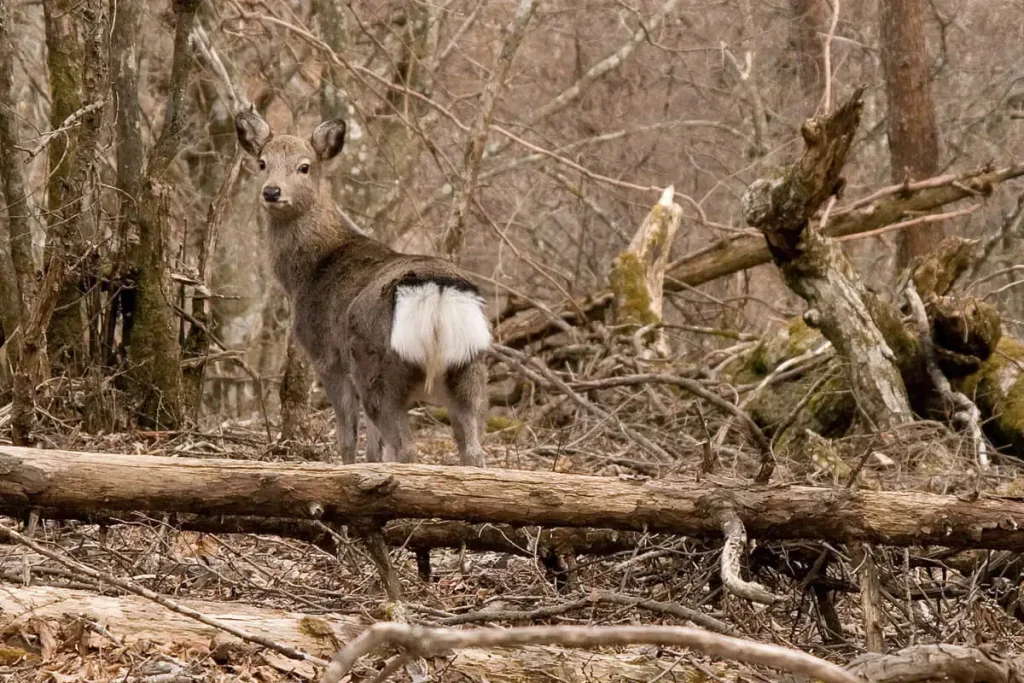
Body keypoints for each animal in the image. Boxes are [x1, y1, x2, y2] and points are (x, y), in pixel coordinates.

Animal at [234, 109, 489, 466]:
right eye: (262, 162)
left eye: (304, 166)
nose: (272, 191)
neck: (306, 274)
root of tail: (438, 295)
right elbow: (373, 447)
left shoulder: (326, 354)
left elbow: (348, 438)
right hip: (470, 368)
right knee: (473, 449)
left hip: (378, 364)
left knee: (405, 447)